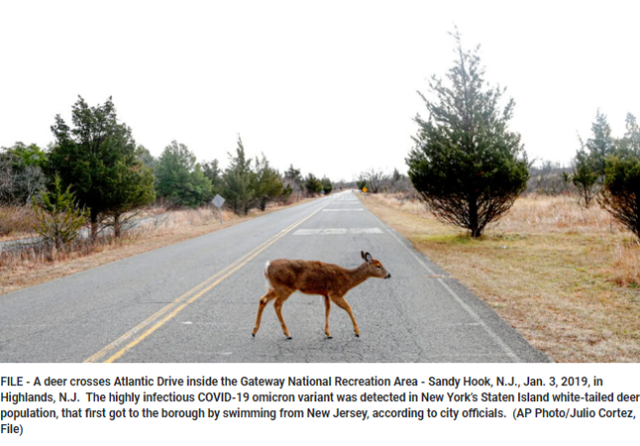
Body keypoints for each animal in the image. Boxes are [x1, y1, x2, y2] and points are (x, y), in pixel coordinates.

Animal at [252, 251, 390, 339]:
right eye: (378, 266)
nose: (389, 275)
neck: (347, 280)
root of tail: (267, 266)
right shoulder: (335, 292)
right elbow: (349, 308)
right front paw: (357, 332)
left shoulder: (326, 293)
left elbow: (327, 310)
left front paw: (327, 333)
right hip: (285, 287)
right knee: (277, 305)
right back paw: (287, 334)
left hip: (275, 288)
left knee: (262, 300)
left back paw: (254, 331)